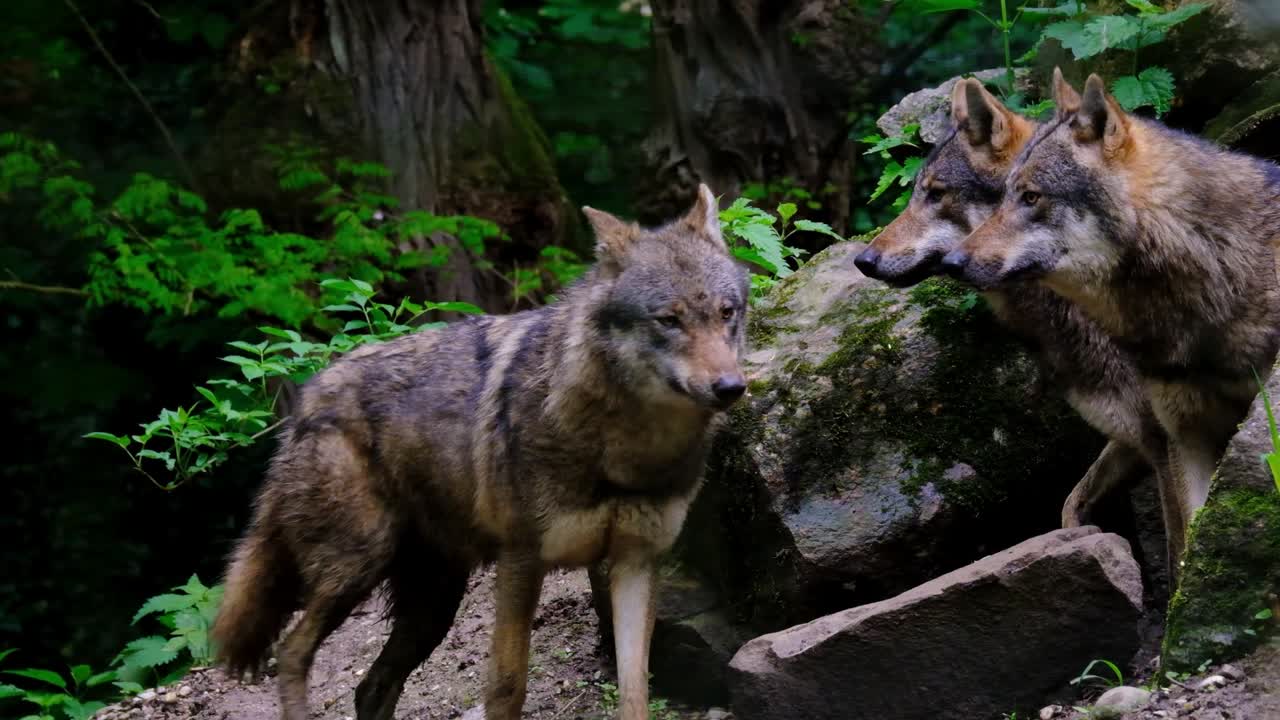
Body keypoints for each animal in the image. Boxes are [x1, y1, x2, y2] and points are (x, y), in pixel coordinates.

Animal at [210, 185, 750, 720]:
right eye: (669, 320)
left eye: (727, 312)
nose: (730, 387)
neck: (625, 449)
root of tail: (307, 400)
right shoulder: (521, 561)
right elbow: (507, 688)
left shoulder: (635, 563)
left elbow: (635, 691)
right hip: (357, 568)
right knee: (292, 652)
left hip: (433, 605)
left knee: (370, 687)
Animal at [854, 76, 1176, 568]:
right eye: (915, 194)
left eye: (936, 193)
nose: (863, 260)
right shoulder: (1133, 437)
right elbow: (1070, 503)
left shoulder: (1169, 440)